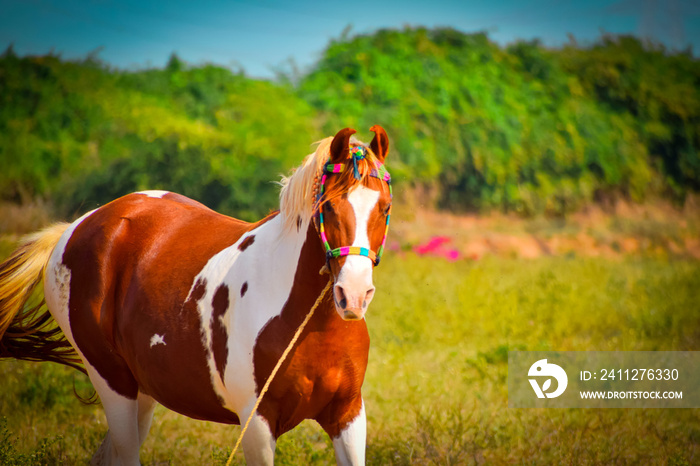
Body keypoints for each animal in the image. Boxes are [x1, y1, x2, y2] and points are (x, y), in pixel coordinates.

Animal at [0, 125, 394, 464]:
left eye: (385, 207)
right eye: (328, 207)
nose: (354, 295)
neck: (311, 326)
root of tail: (78, 226)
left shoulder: (347, 415)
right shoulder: (257, 423)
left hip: (143, 391)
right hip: (112, 382)